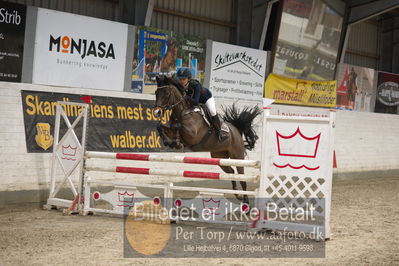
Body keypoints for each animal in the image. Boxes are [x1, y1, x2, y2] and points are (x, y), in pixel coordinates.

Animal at [154, 75, 262, 204]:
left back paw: (245, 200)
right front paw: (171, 142)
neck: (183, 112)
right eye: (156, 93)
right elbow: (161, 127)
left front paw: (177, 142)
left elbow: (177, 126)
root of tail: (237, 130)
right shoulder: (171, 129)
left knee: (242, 177)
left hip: (238, 156)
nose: (157, 112)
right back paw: (237, 194)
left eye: (166, 93)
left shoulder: (192, 134)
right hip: (219, 157)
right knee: (231, 173)